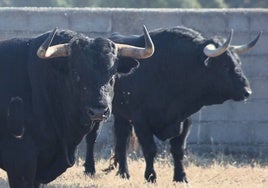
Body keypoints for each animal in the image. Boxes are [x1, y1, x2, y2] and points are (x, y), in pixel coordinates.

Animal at [85, 26, 260, 182]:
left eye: (238, 62)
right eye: (224, 65)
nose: (247, 92)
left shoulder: (185, 120)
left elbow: (178, 150)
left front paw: (181, 177)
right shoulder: (141, 121)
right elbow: (150, 149)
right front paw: (151, 177)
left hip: (121, 115)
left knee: (122, 139)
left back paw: (123, 173)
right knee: (93, 138)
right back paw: (96, 170)